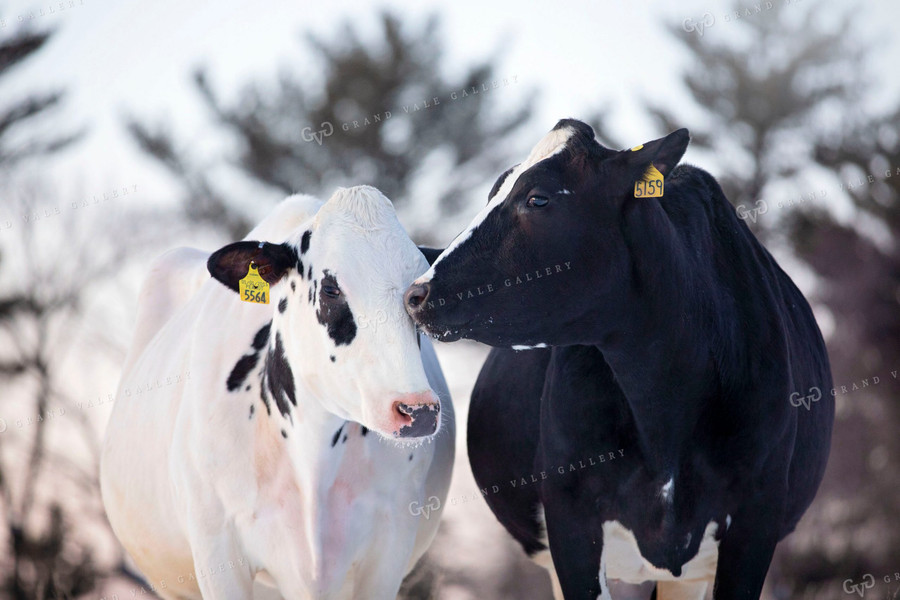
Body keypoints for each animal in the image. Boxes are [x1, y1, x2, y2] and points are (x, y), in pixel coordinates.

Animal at [103, 188, 458, 600]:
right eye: (331, 288)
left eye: (415, 294)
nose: (417, 410)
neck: (313, 455)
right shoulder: (217, 549)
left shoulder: (389, 550)